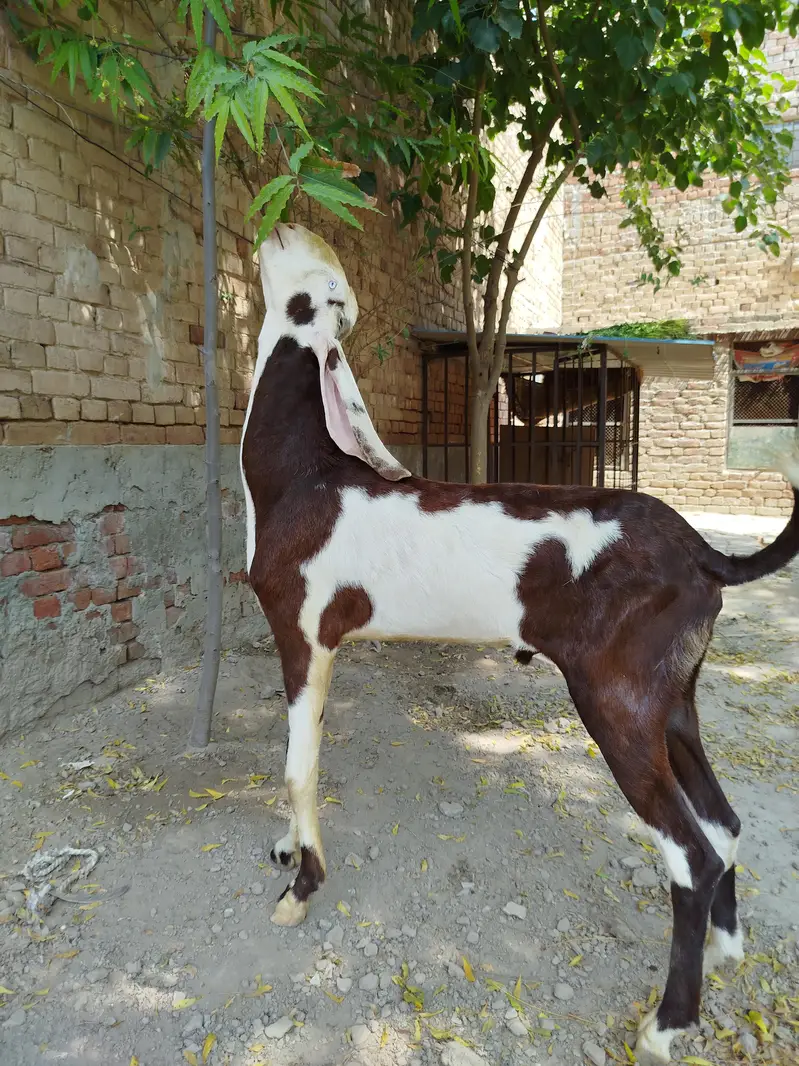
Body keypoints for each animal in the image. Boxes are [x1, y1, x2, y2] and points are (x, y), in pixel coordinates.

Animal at [240, 222, 799, 1062]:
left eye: (320, 296)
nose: (288, 223)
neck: (305, 480)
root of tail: (704, 552)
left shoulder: (304, 634)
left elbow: (297, 770)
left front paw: (300, 888)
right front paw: (287, 851)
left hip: (615, 701)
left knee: (691, 853)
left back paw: (667, 1022)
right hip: (670, 700)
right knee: (723, 824)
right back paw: (727, 948)